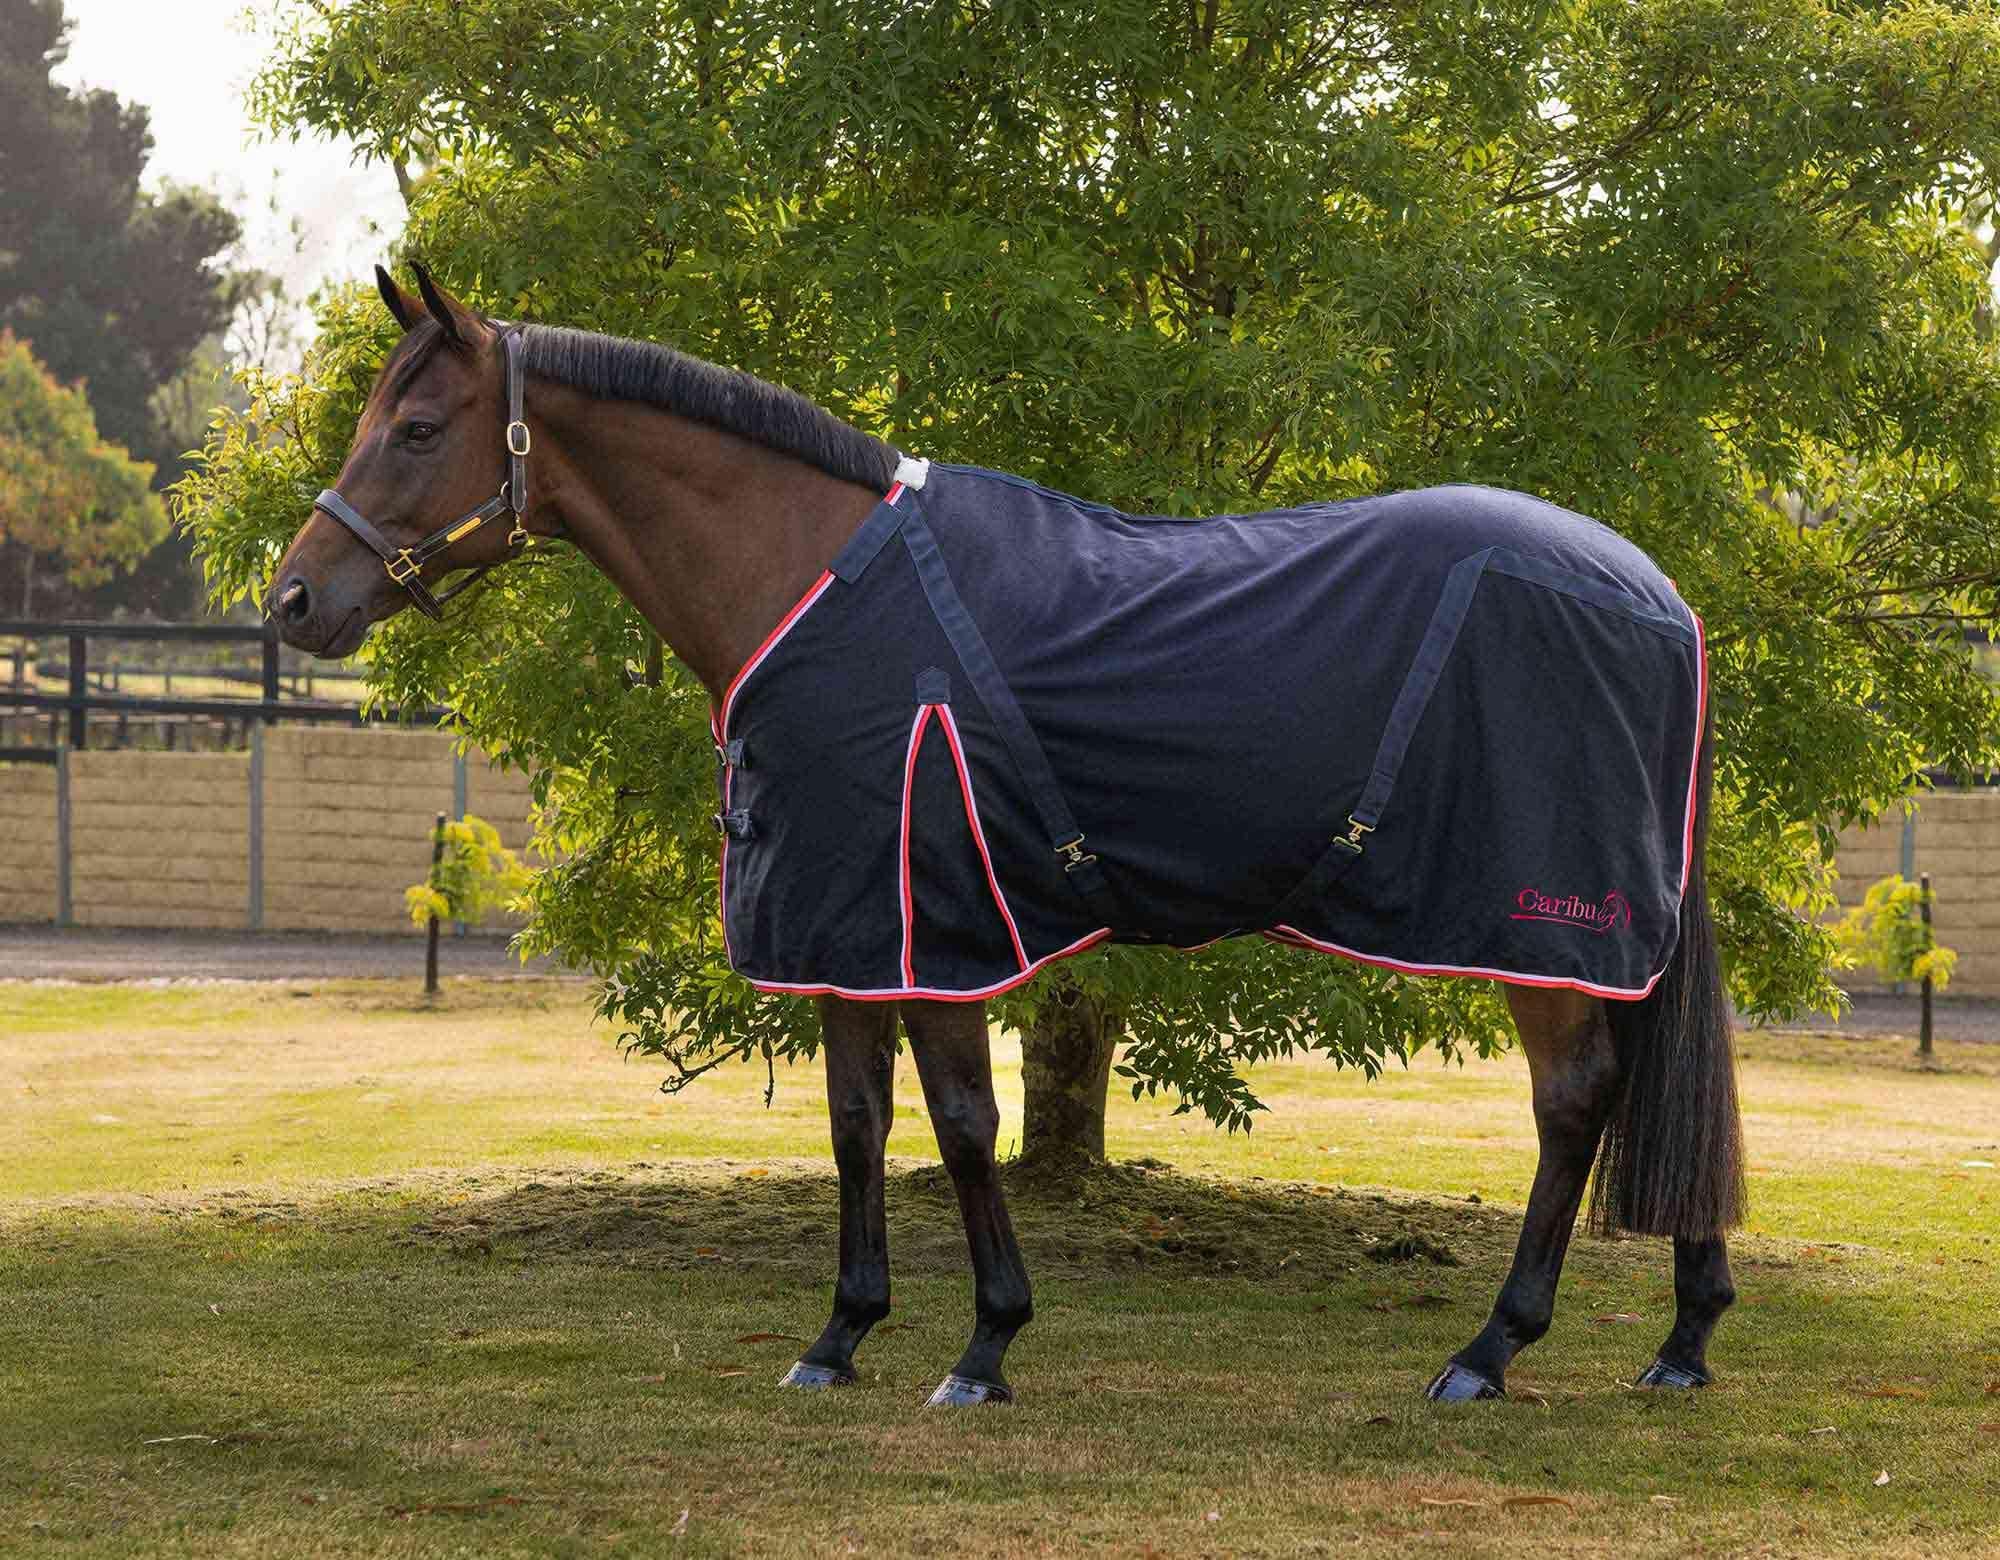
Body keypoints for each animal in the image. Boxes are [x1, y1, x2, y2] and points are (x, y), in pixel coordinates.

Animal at [268, 263, 1744, 1408]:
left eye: (416, 428)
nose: (293, 602)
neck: (812, 584)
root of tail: (1660, 597)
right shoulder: (847, 932)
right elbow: (857, 1123)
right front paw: (839, 1336)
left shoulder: (931, 927)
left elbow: (966, 1125)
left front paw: (983, 1347)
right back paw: (1682, 1339)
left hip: (1542, 928)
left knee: (1574, 1104)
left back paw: (1489, 1352)